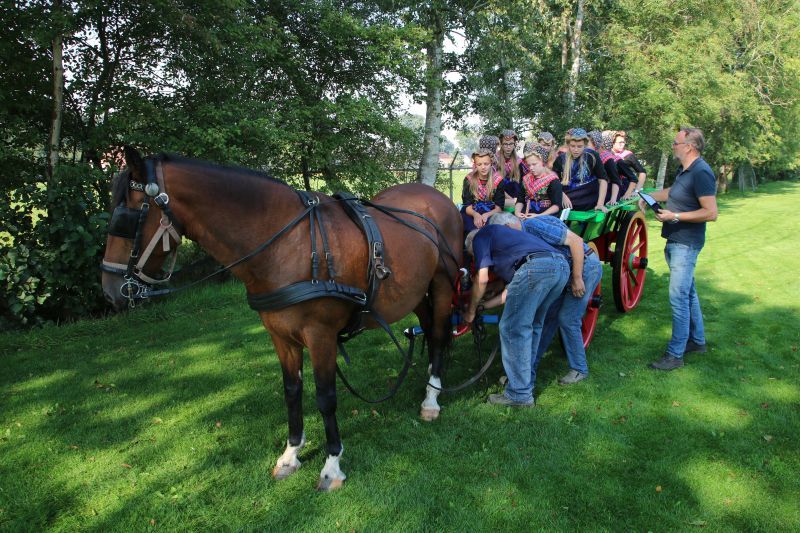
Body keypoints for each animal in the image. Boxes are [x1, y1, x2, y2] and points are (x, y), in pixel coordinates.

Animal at [101, 149, 462, 490]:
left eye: (126, 218)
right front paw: (291, 455)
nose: (111, 290)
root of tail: (438, 197)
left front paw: (332, 465)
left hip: (443, 283)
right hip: (416, 292)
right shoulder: (280, 334)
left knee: (439, 334)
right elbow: (292, 391)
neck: (290, 244)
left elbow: (325, 397)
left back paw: (432, 398)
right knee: (430, 327)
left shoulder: (320, 335)